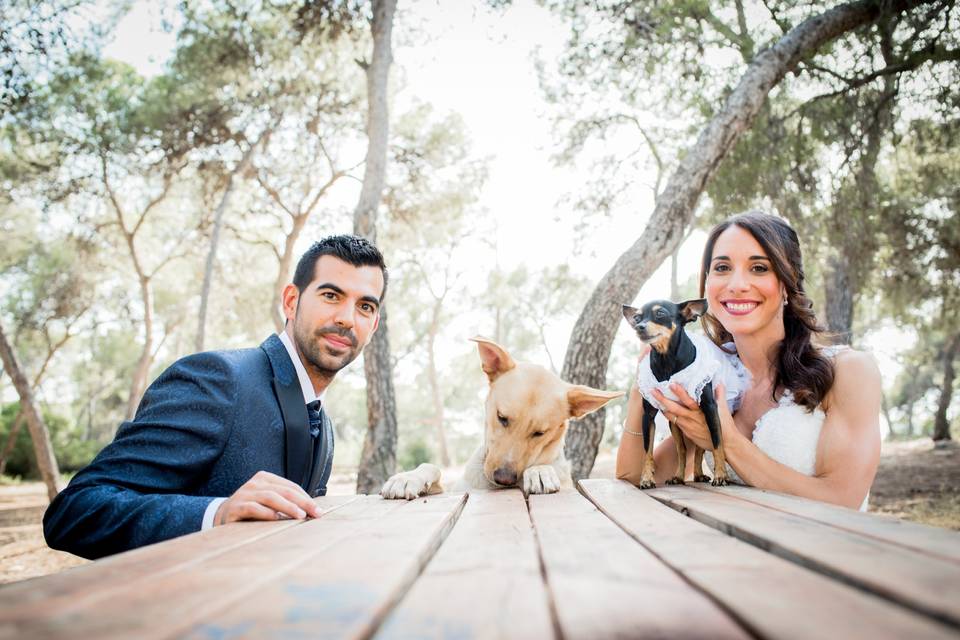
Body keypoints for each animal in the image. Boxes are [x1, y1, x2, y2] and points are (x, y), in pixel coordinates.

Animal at [378, 338, 628, 498]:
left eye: (540, 433)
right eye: (502, 417)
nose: (504, 479)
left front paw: (540, 471)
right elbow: (431, 466)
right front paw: (407, 478)